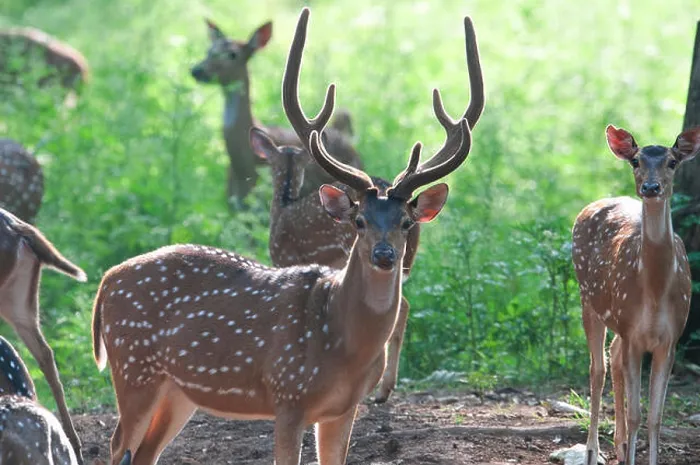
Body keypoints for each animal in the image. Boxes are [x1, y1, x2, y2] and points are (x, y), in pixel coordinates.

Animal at [572, 125, 700, 465]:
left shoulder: (670, 339)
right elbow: (636, 415)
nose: (651, 187)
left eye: (672, 162)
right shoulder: (633, 333)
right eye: (635, 161)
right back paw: (593, 450)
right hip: (588, 298)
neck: (654, 292)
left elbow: (656, 417)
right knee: (598, 367)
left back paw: (619, 445)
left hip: (618, 320)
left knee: (612, 355)